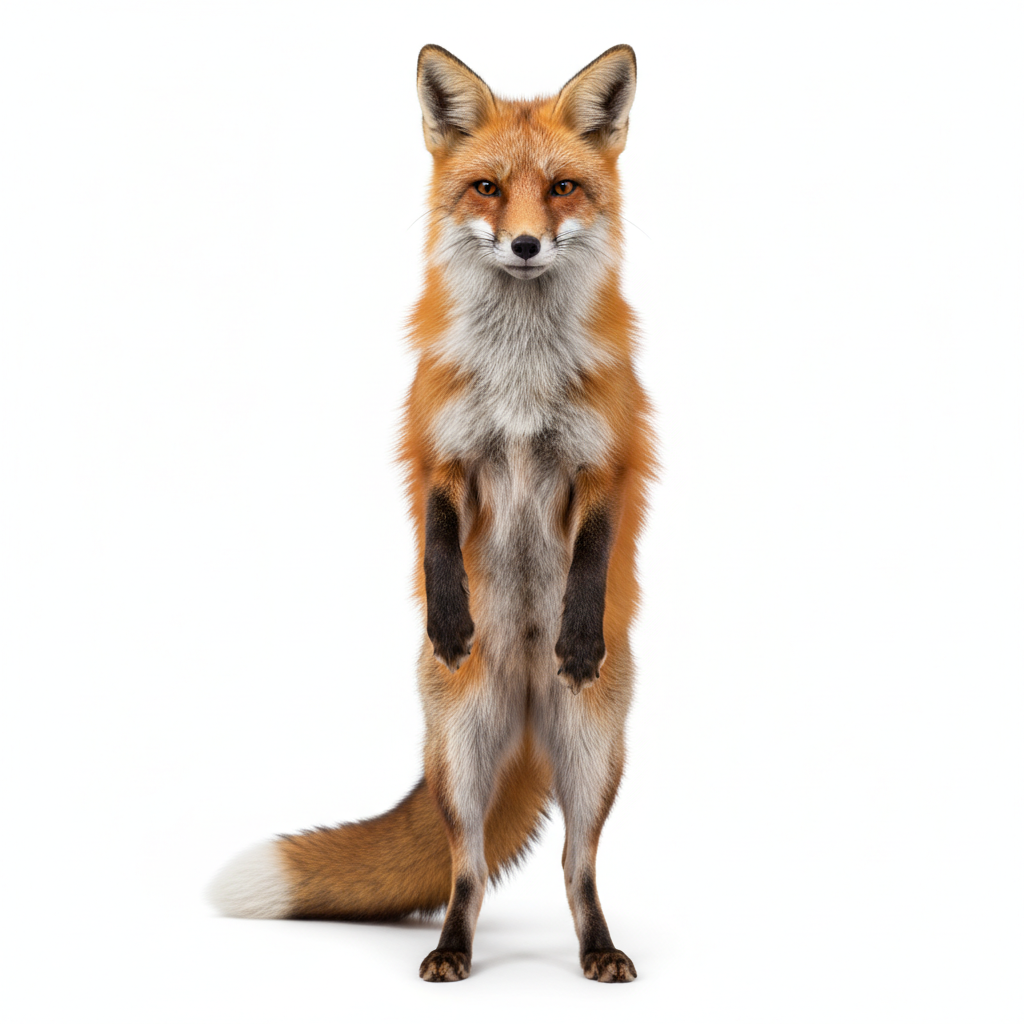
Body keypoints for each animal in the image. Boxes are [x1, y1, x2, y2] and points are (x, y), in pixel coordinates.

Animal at [209, 43, 656, 984]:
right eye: (487, 188)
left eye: (562, 188)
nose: (524, 244)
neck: (521, 374)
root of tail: (523, 700)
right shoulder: (441, 455)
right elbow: (437, 542)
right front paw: (452, 619)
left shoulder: (608, 464)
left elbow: (594, 553)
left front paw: (579, 634)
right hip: (458, 755)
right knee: (468, 873)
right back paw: (451, 951)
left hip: (594, 754)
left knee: (576, 868)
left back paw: (598, 951)